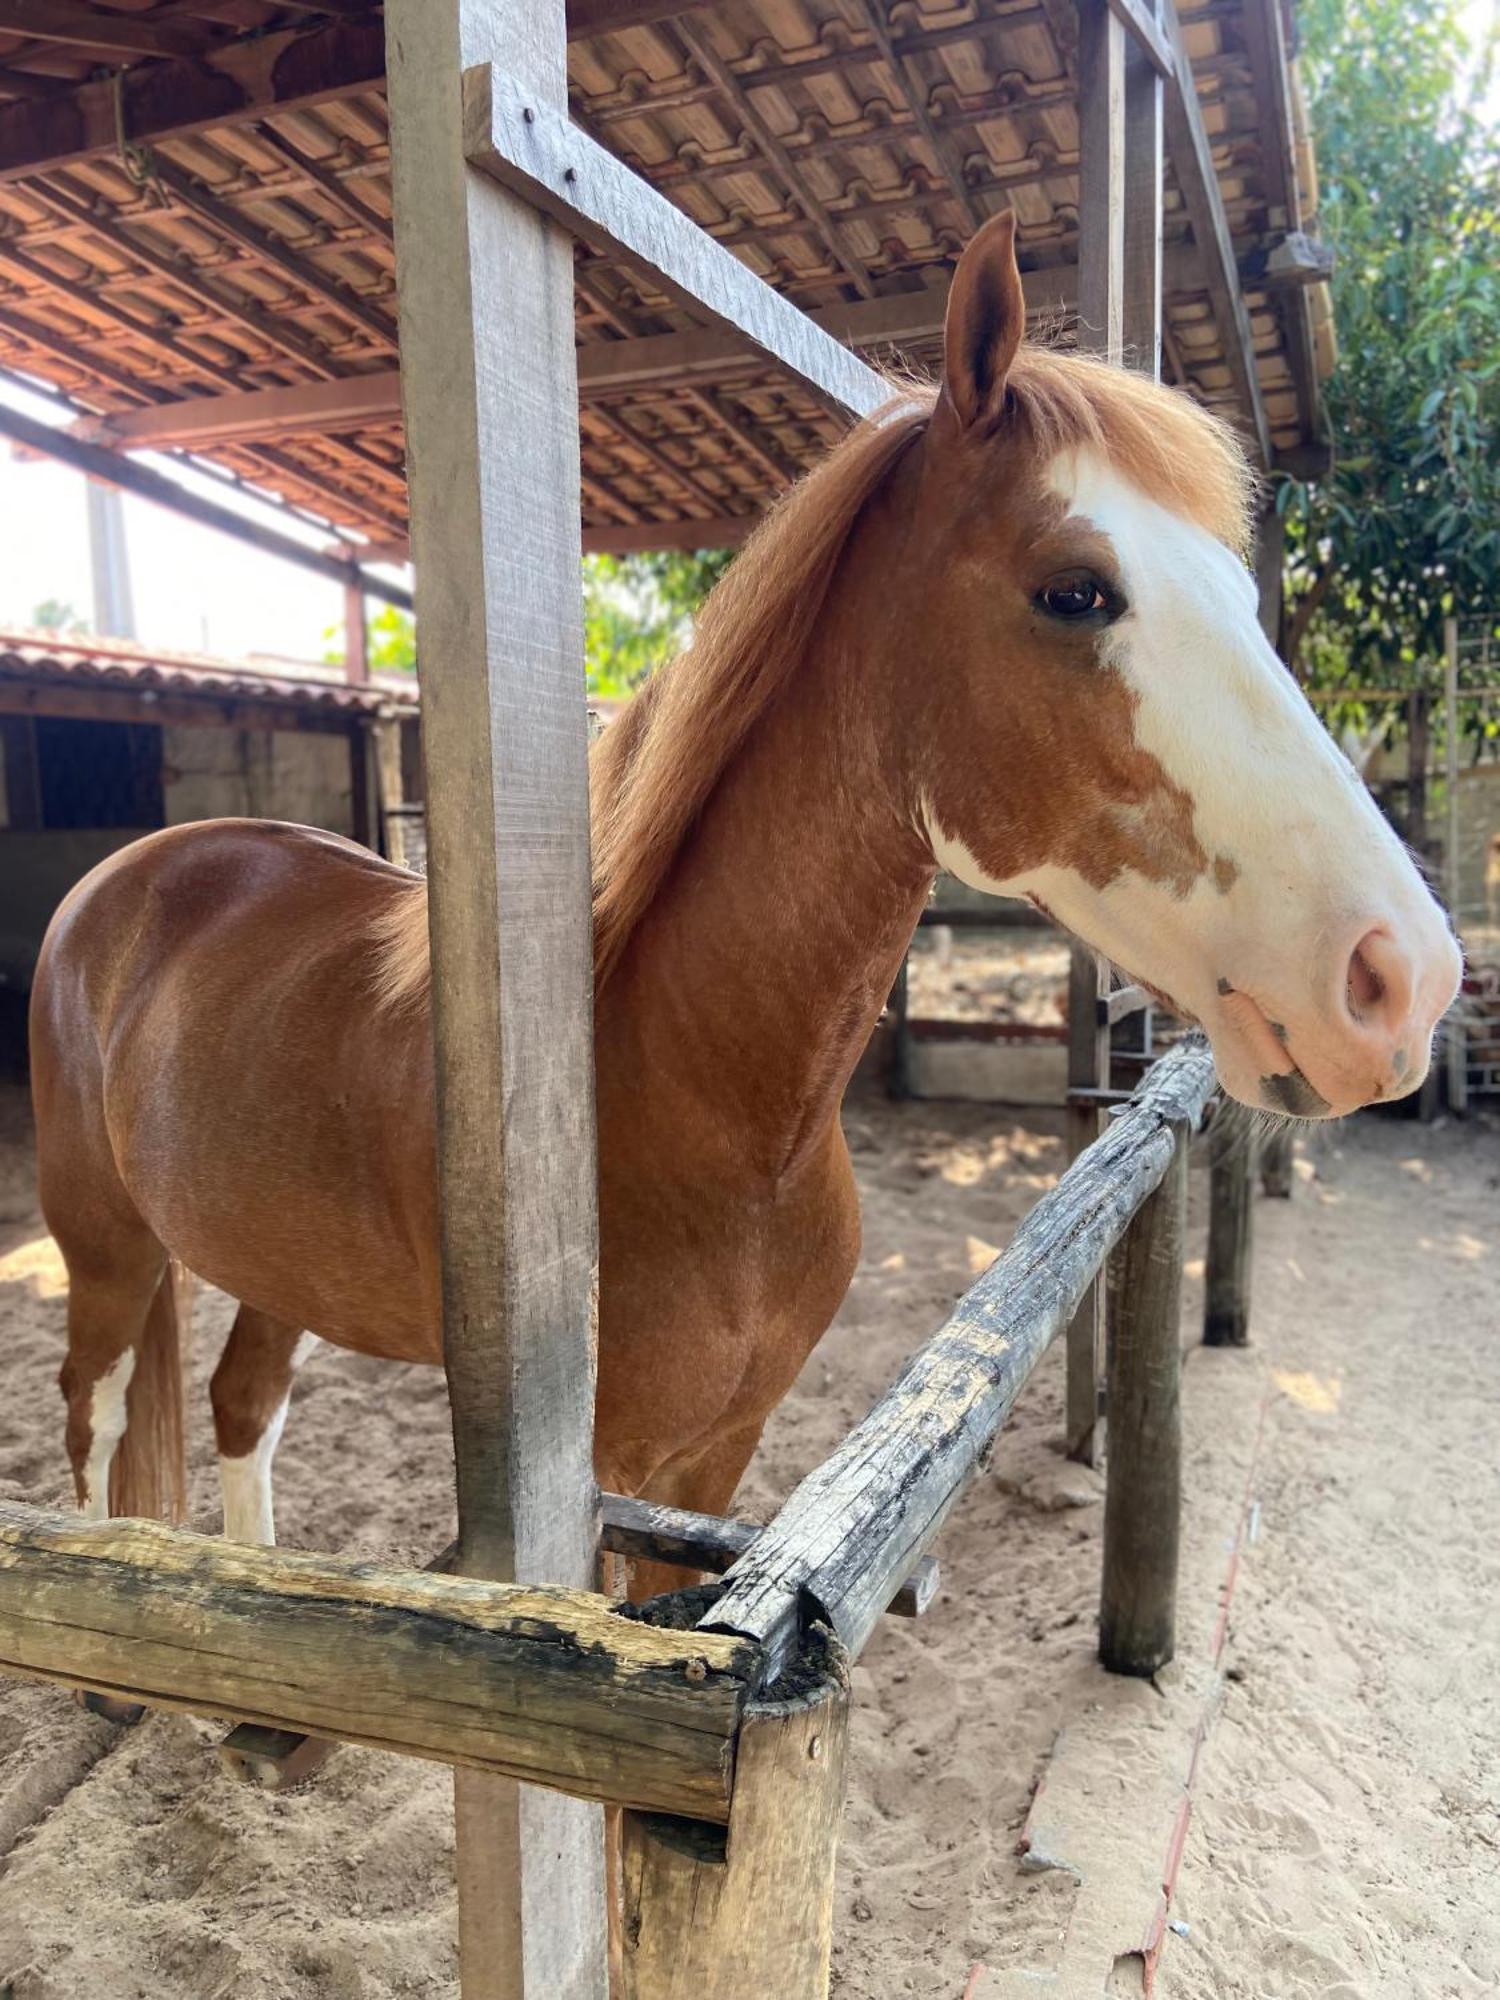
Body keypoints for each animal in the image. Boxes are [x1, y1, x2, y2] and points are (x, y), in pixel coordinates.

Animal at [29, 215, 1464, 1560]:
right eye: (1075, 590)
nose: (1405, 981)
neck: (696, 1107)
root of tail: (132, 876)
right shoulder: (590, 1494)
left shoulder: (716, 1458)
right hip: (105, 1257)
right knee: (90, 1430)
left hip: (266, 1264)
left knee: (241, 1408)